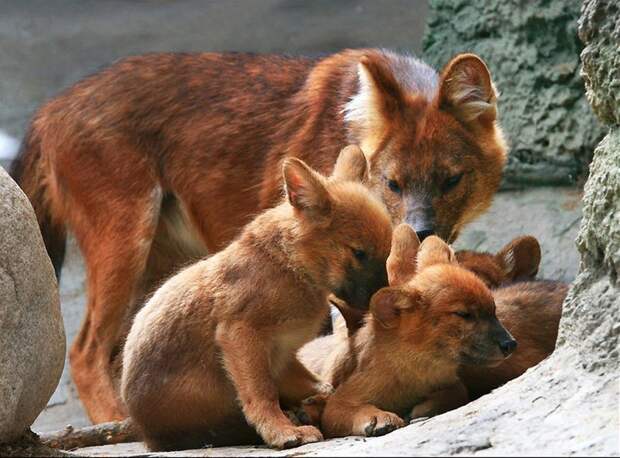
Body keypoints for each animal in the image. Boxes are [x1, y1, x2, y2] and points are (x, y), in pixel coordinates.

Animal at [121, 148, 392, 450]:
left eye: (388, 250)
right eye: (359, 253)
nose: (384, 299)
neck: (290, 265)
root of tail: (147, 433)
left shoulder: (283, 355)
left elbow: (322, 386)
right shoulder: (240, 336)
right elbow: (262, 393)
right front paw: (281, 431)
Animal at [296, 225, 512, 436]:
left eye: (493, 308)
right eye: (464, 314)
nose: (511, 344)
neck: (416, 371)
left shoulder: (449, 382)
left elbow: (459, 390)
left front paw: (425, 407)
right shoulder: (339, 403)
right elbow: (352, 410)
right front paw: (379, 417)